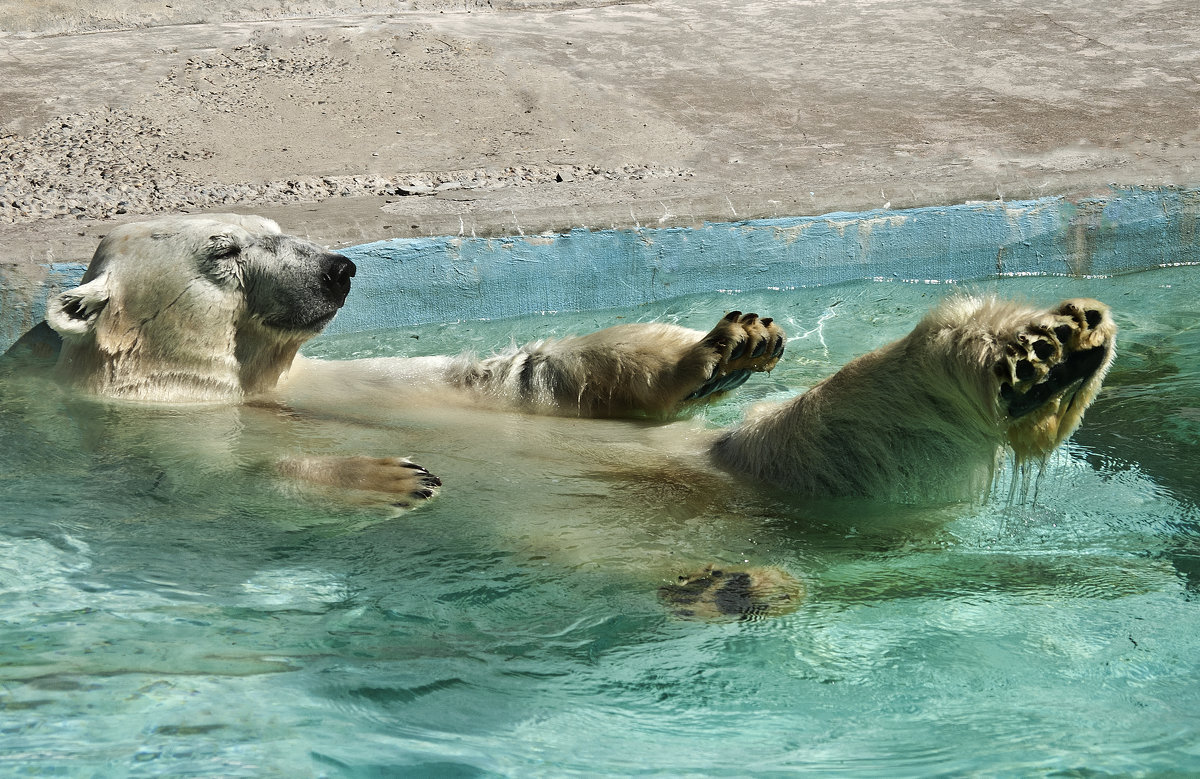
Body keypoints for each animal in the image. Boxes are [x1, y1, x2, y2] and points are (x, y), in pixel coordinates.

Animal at [37, 216, 1118, 614]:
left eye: (280, 232)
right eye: (227, 249)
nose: (339, 268)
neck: (236, 386)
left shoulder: (346, 375)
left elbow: (508, 376)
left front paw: (730, 345)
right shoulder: (124, 446)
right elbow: (220, 488)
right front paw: (390, 475)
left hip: (765, 459)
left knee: (871, 410)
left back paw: (1044, 354)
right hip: (582, 537)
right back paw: (732, 581)